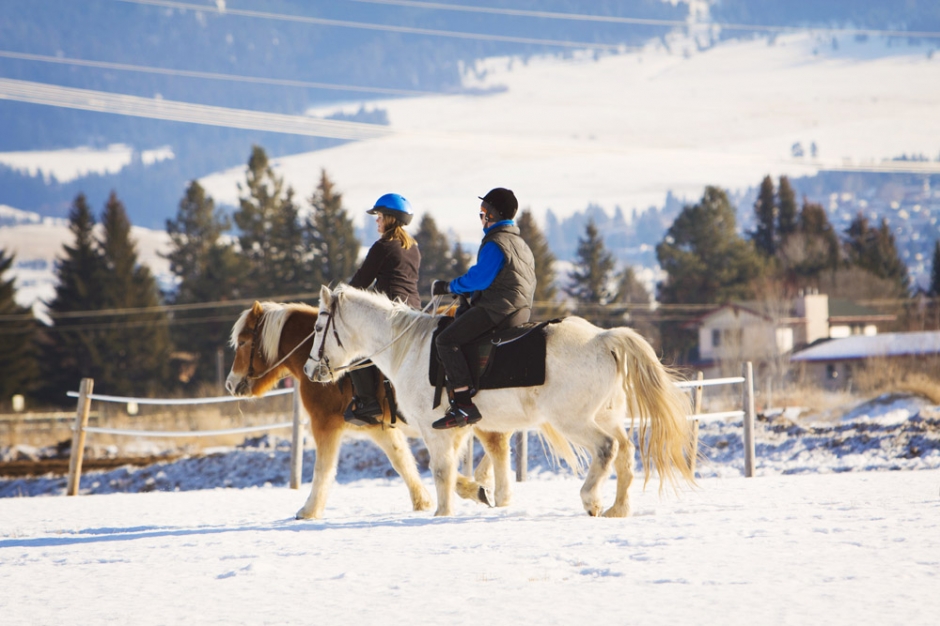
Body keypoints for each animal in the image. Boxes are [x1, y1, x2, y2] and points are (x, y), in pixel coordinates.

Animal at [225, 300, 507, 519]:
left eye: (243, 341)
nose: (229, 384)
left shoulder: (324, 423)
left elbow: (323, 469)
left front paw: (309, 510)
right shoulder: (378, 427)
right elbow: (402, 461)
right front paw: (428, 498)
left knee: (497, 442)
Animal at [304, 285, 697, 517]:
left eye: (319, 327)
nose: (311, 370)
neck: (409, 350)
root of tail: (602, 338)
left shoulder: (437, 432)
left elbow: (442, 472)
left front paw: (442, 513)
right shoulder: (462, 429)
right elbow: (460, 470)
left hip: (575, 421)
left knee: (607, 449)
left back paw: (591, 499)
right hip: (606, 415)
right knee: (627, 453)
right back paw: (619, 507)